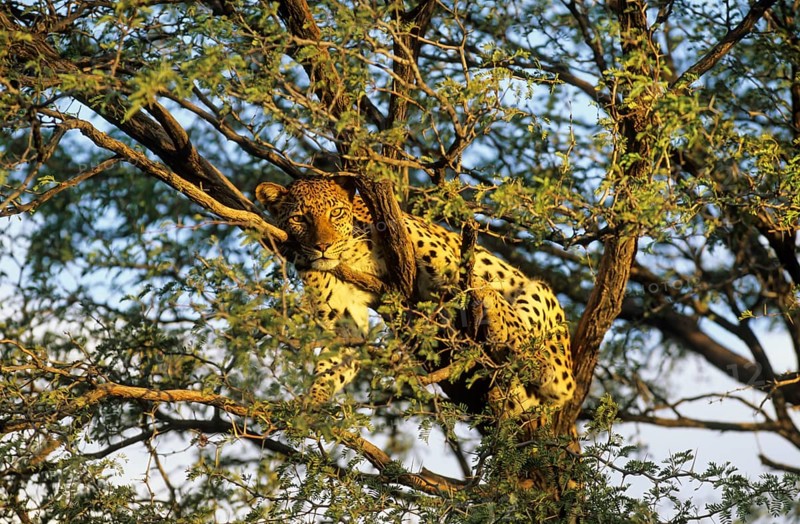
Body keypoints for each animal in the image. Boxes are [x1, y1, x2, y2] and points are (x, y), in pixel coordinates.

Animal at [256, 176, 575, 419]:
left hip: (542, 303)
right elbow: (330, 367)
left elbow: (476, 289)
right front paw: (310, 403)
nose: (323, 246)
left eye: (335, 213)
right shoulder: (344, 323)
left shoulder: (444, 259)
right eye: (299, 218)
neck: (349, 258)